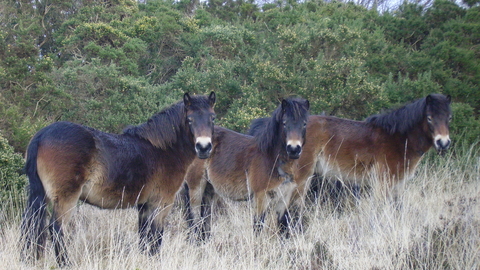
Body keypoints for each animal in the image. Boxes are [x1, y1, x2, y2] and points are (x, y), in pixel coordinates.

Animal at [20, 92, 216, 264]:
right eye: (189, 119)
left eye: (212, 118)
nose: (204, 147)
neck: (163, 150)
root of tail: (42, 135)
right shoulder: (161, 203)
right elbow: (156, 238)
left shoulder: (144, 205)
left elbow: (143, 237)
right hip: (66, 198)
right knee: (57, 230)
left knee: (30, 226)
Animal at [182, 97, 310, 240]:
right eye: (284, 123)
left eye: (304, 124)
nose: (293, 149)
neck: (272, 159)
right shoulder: (261, 197)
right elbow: (258, 227)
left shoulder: (285, 198)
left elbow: (283, 228)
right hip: (196, 188)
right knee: (194, 218)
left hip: (209, 190)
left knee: (205, 219)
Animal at [268, 94, 452, 229]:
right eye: (429, 118)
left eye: (449, 117)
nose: (443, 143)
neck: (399, 139)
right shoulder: (383, 182)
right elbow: (379, 209)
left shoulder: (398, 183)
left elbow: (397, 208)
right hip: (301, 178)